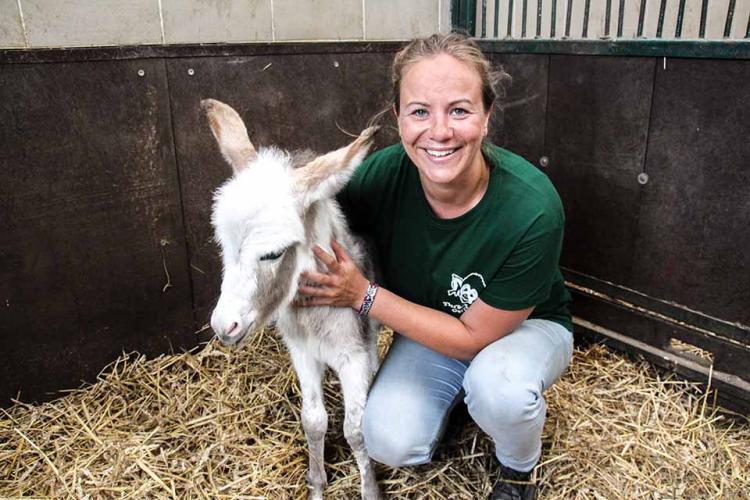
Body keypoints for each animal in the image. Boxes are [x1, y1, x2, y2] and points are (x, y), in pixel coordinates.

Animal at [204, 98, 382, 500]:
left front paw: (370, 490)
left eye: (272, 254)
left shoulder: (352, 355)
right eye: (222, 245)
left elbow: (357, 430)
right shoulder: (301, 351)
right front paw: (317, 485)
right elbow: (313, 420)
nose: (223, 326)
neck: (312, 314)